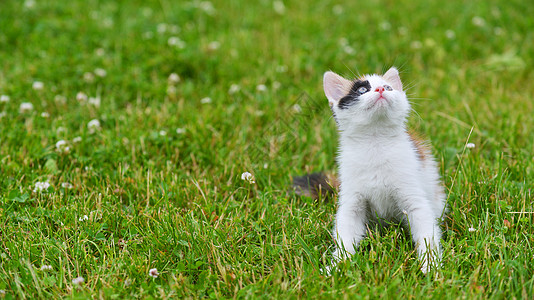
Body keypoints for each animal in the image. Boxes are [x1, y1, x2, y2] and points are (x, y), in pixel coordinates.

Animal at [300, 67, 446, 274]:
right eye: (362, 90)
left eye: (388, 87)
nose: (380, 89)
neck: (375, 142)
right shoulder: (352, 200)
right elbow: (345, 233)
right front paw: (337, 265)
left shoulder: (413, 196)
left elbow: (427, 232)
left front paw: (430, 265)